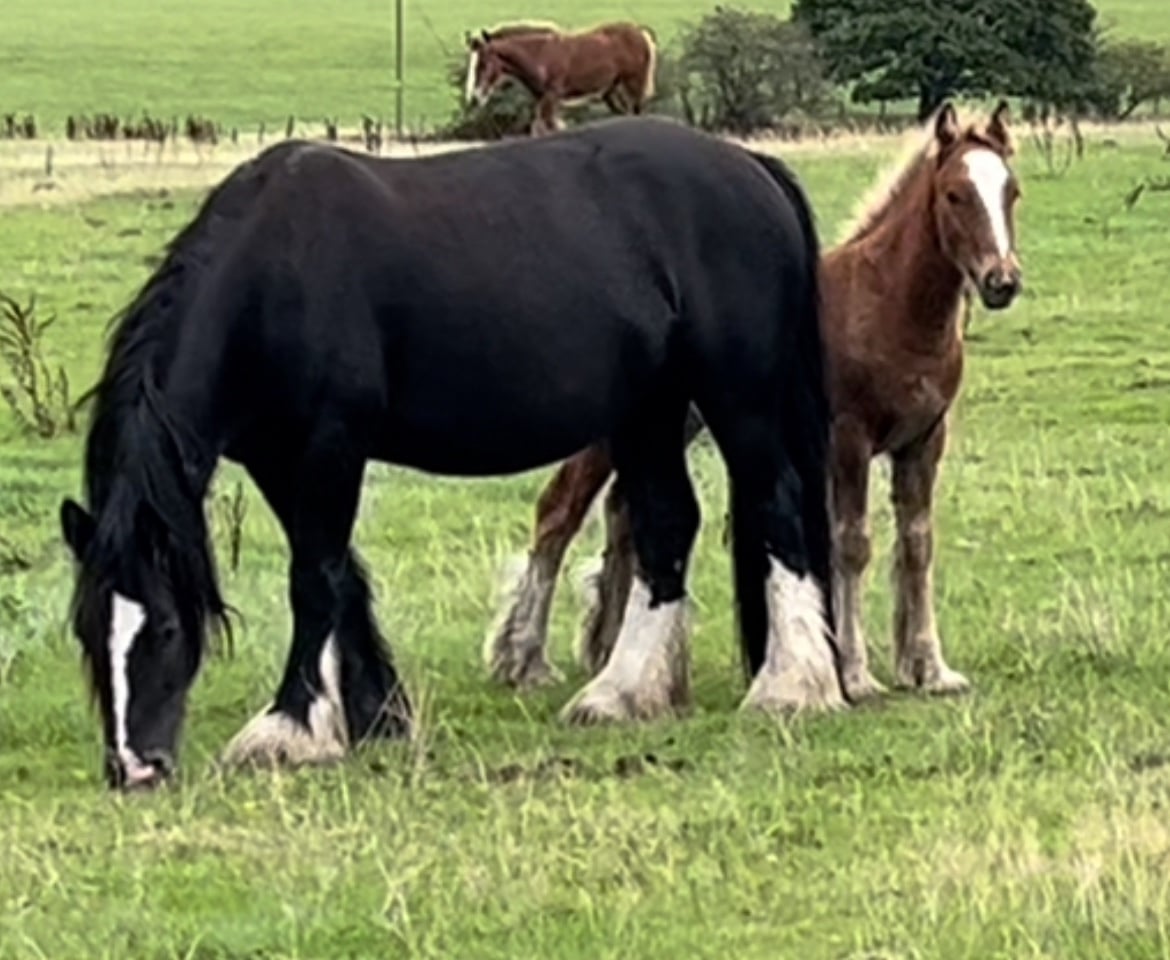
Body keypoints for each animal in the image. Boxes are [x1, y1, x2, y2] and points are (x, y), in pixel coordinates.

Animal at [58, 115, 844, 791]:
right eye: (87, 631)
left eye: (164, 627)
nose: (136, 768)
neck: (273, 276)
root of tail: (752, 167)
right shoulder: (278, 460)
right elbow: (344, 575)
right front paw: (378, 715)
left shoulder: (330, 444)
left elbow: (313, 578)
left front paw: (289, 730)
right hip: (648, 407)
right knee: (666, 525)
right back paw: (621, 695)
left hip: (738, 396)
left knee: (777, 508)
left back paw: (793, 687)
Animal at [463, 21, 658, 135]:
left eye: (482, 64)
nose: (476, 97)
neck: (540, 54)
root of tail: (640, 32)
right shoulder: (541, 99)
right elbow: (539, 128)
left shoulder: (551, 97)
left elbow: (551, 127)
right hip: (611, 90)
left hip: (633, 84)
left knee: (637, 111)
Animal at [485, 101, 1023, 702]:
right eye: (955, 194)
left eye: (1011, 191)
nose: (1002, 280)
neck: (888, 305)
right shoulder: (850, 441)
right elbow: (851, 545)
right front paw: (855, 674)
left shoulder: (925, 441)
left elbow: (917, 544)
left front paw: (930, 668)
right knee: (558, 511)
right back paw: (525, 658)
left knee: (623, 512)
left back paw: (609, 653)